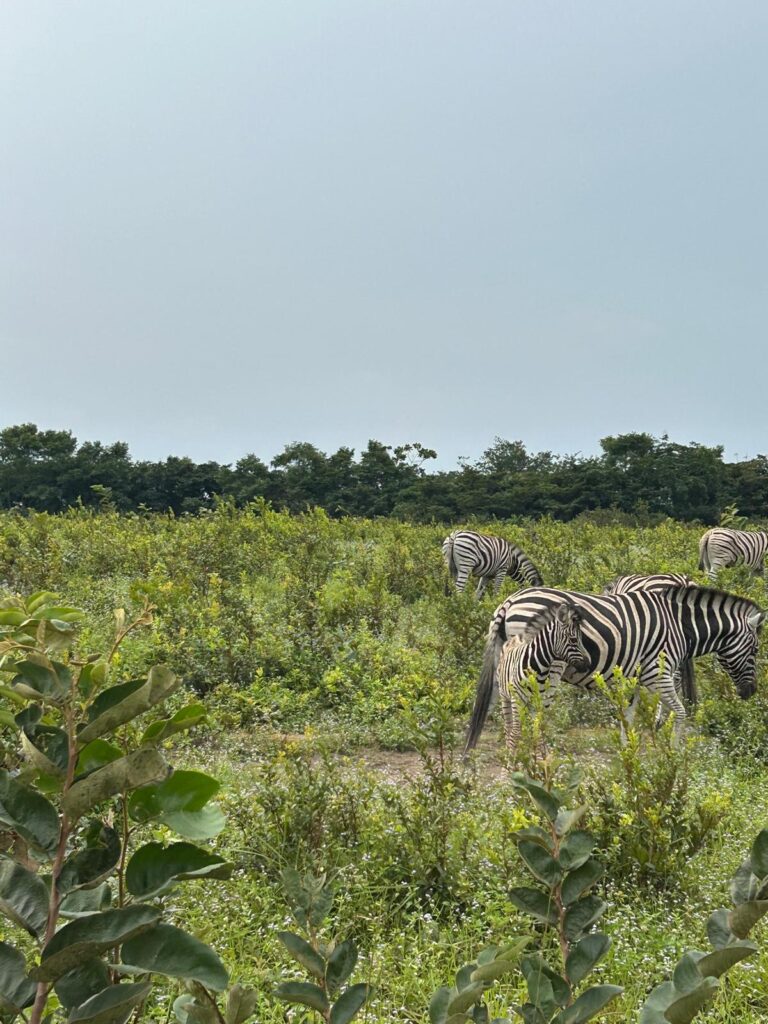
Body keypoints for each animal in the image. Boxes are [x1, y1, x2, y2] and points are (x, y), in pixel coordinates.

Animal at [463, 584, 764, 757]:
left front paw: (627, 750)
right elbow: (680, 711)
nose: (751, 693)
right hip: (542, 667)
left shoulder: (634, 676)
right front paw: (675, 752)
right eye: (756, 650)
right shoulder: (657, 671)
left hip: (506, 659)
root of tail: (510, 600)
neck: (681, 626)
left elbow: (627, 715)